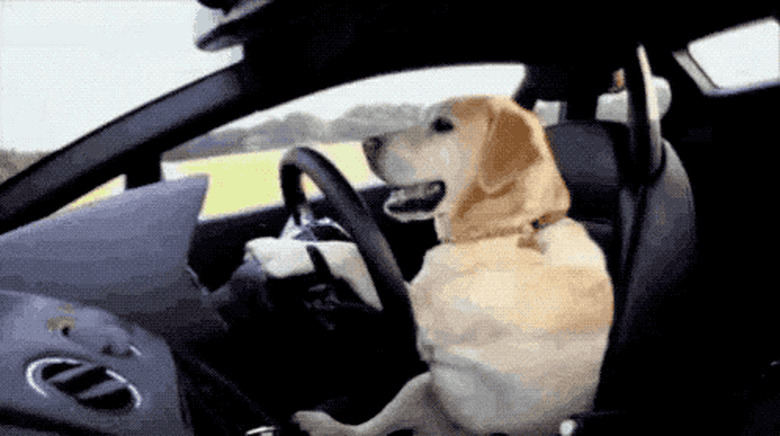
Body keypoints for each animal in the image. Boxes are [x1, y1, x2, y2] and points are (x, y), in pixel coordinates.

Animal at [288, 97, 616, 434]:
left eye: (443, 125)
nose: (366, 143)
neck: (510, 229)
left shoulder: (420, 318)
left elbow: (352, 255)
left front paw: (282, 252)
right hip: (418, 387)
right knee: (366, 430)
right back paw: (323, 424)